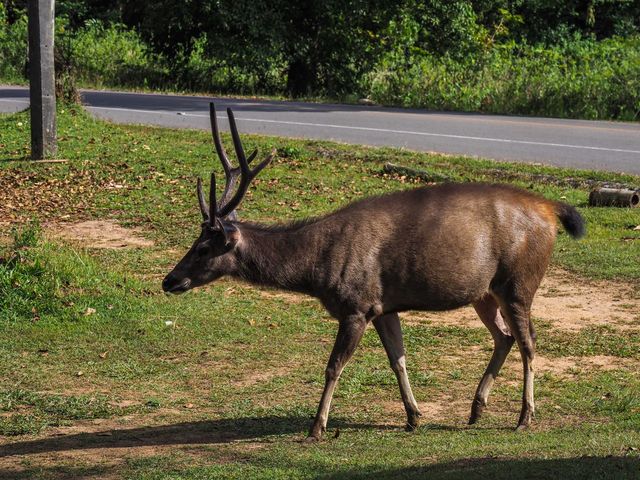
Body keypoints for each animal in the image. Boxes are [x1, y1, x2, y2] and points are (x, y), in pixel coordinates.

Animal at [164, 103, 584, 440]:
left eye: (203, 248)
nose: (170, 280)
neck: (317, 268)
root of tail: (552, 210)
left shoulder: (356, 304)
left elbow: (333, 366)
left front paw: (317, 427)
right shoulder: (384, 306)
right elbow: (398, 359)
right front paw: (413, 417)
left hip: (519, 281)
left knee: (529, 342)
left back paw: (524, 417)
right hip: (484, 291)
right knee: (504, 337)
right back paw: (475, 409)